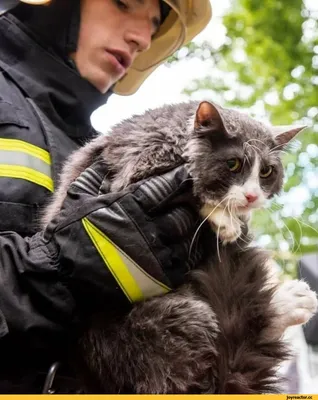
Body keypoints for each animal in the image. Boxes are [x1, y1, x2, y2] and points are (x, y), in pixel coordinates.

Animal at [44, 101, 318, 394]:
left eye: (266, 172)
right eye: (233, 164)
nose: (252, 196)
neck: (179, 137)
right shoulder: (133, 172)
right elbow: (191, 190)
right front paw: (224, 220)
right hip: (176, 321)